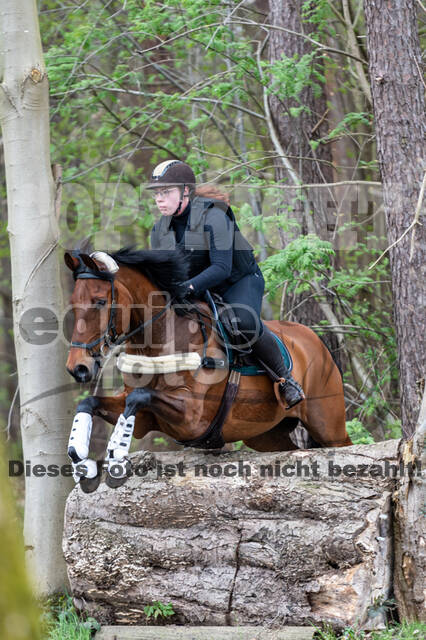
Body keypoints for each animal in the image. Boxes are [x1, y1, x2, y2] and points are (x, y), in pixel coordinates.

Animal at [63, 249, 350, 490]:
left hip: (328, 424)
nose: (78, 368)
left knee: (343, 444)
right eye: (73, 302)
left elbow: (138, 397)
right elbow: (90, 403)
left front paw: (116, 456)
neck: (160, 340)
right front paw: (80, 460)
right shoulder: (145, 418)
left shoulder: (192, 416)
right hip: (265, 434)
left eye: (100, 301)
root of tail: (315, 340)